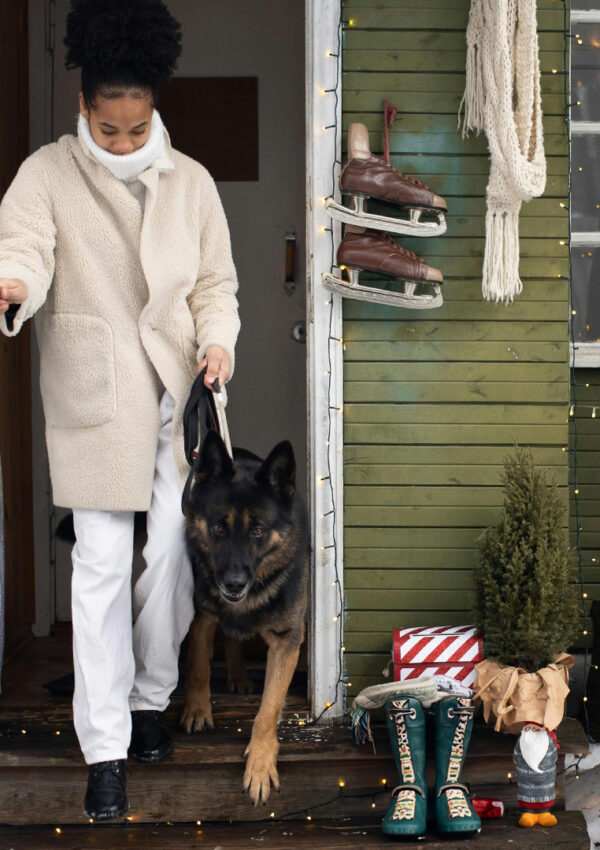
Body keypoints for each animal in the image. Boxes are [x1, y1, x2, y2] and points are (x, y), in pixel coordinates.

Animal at [180, 430, 308, 800]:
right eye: (218, 528)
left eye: (258, 530)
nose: (234, 583)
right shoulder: (201, 616)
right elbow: (198, 667)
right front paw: (197, 709)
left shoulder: (286, 642)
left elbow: (269, 708)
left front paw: (261, 763)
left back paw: (238, 677)